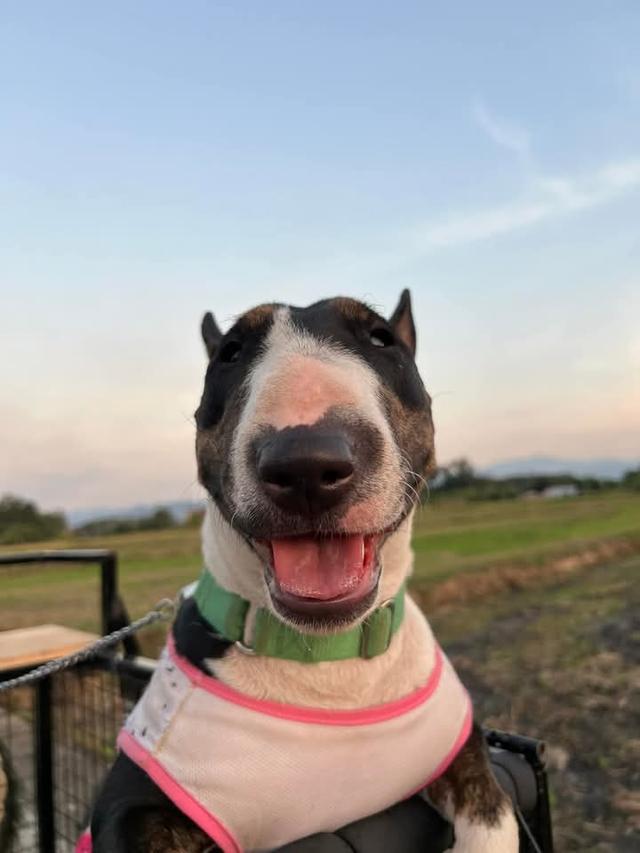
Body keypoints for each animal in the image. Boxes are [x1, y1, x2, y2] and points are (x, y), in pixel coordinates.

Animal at [89, 292, 520, 852]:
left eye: (381, 337)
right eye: (229, 352)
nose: (306, 465)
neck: (328, 658)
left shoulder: (461, 750)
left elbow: (495, 814)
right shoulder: (130, 804)